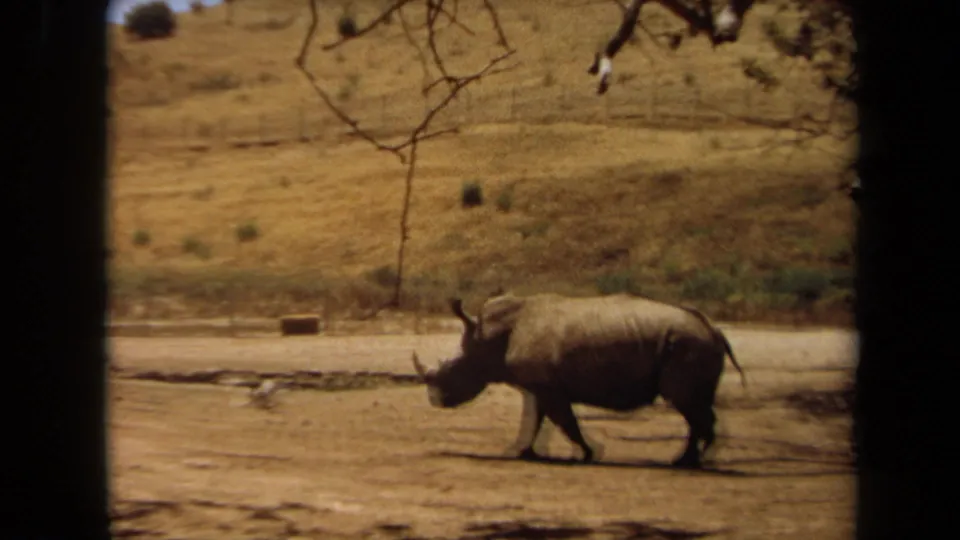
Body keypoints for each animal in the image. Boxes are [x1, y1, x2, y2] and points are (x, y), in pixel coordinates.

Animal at [411, 292, 746, 469]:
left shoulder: (548, 386)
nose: (434, 399)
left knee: (686, 402)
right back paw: (693, 458)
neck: (491, 336)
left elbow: (563, 421)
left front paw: (587, 454)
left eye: (455, 369)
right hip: (693, 344)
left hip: (688, 344)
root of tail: (715, 329)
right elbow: (537, 419)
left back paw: (688, 461)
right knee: (696, 404)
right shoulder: (541, 385)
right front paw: (524, 453)